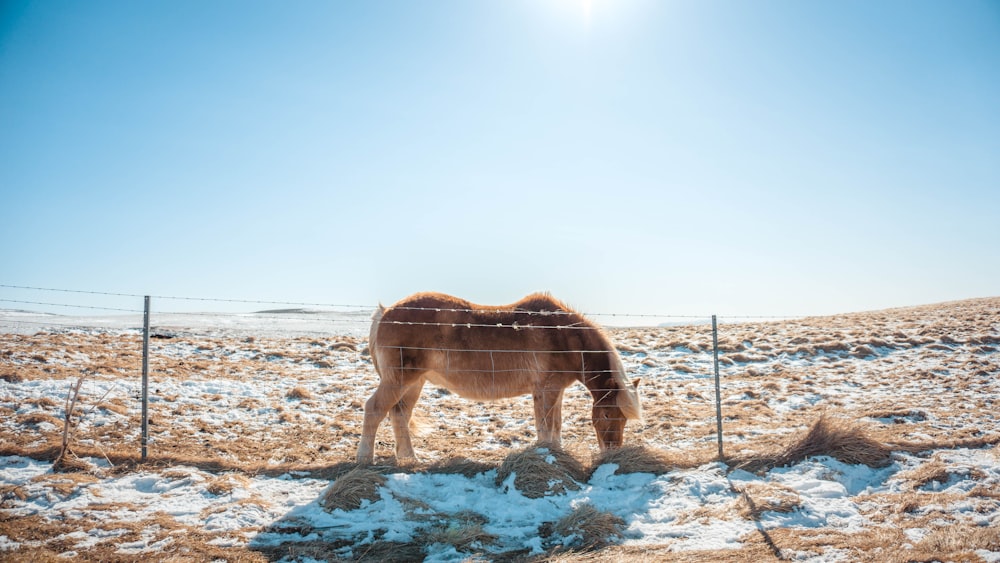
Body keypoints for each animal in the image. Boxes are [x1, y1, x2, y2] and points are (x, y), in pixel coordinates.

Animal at [358, 294, 640, 464]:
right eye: (607, 415)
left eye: (623, 418)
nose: (612, 452)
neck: (564, 337)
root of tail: (385, 312)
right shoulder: (548, 390)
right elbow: (547, 426)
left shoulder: (553, 391)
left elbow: (554, 426)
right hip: (398, 380)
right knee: (374, 410)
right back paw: (365, 459)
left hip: (414, 383)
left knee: (400, 415)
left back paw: (410, 459)